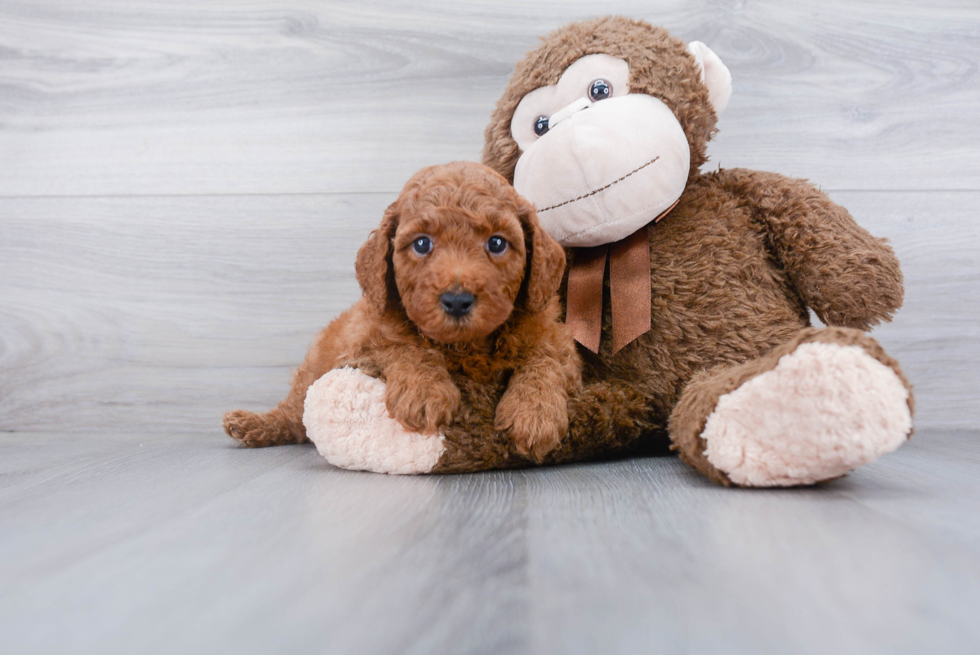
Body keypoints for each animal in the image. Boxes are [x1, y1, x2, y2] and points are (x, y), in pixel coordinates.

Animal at [224, 161, 576, 462]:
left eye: (497, 244)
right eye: (421, 244)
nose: (457, 300)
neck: (466, 345)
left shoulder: (554, 337)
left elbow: (543, 359)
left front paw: (535, 413)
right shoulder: (364, 342)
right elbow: (404, 345)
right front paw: (424, 393)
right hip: (310, 373)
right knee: (294, 415)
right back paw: (252, 424)